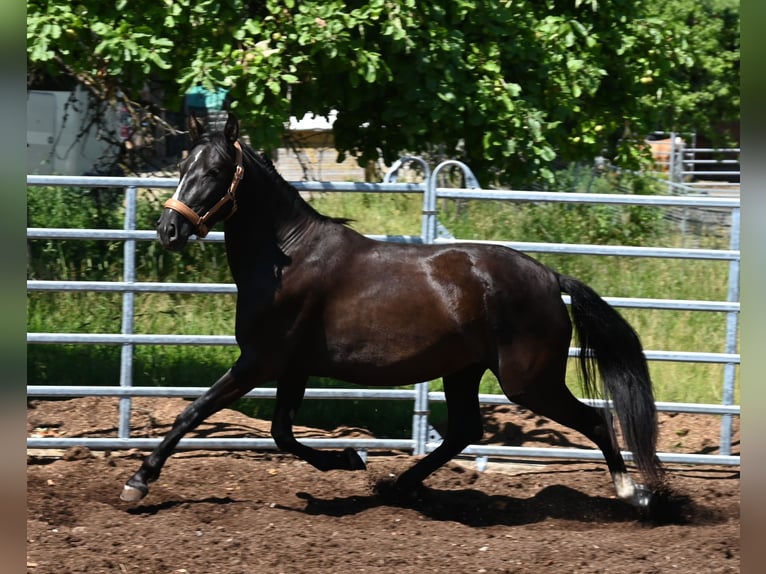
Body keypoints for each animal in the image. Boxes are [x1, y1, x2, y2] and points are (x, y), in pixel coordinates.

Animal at [121, 112, 664, 509]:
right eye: (181, 169)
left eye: (213, 172)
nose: (168, 230)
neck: (288, 258)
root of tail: (551, 278)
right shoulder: (293, 368)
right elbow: (281, 435)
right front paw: (350, 459)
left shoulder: (260, 361)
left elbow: (194, 412)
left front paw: (138, 482)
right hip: (465, 371)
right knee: (465, 430)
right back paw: (398, 484)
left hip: (528, 381)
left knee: (595, 420)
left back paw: (633, 494)